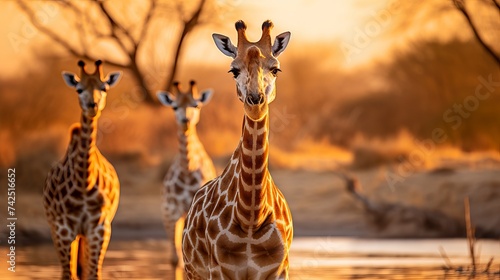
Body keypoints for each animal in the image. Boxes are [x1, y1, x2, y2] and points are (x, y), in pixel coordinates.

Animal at [44, 60, 122, 278]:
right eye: (79, 89)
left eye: (104, 88)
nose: (92, 106)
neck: (83, 182)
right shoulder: (63, 229)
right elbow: (67, 274)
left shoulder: (99, 229)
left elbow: (93, 274)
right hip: (60, 231)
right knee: (70, 271)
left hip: (86, 235)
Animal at [157, 80, 216, 266]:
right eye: (174, 107)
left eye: (196, 105)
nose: (186, 121)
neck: (187, 169)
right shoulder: (171, 213)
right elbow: (175, 259)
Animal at [183, 20, 292, 280]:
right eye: (233, 70)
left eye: (275, 69)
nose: (255, 101)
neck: (251, 216)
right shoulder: (218, 271)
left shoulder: (280, 270)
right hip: (192, 271)